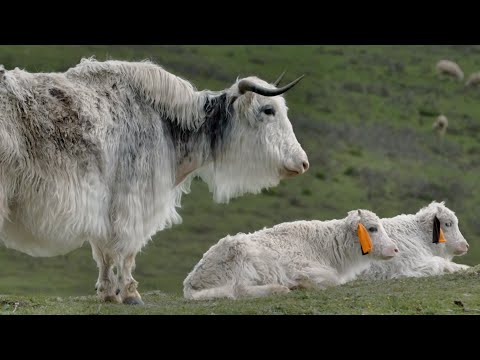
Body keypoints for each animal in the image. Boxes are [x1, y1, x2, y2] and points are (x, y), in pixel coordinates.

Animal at [182, 210, 400, 300]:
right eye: (372, 229)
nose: (395, 249)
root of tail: (191, 280)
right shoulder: (304, 268)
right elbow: (330, 280)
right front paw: (302, 284)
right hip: (240, 264)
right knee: (239, 290)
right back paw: (281, 289)